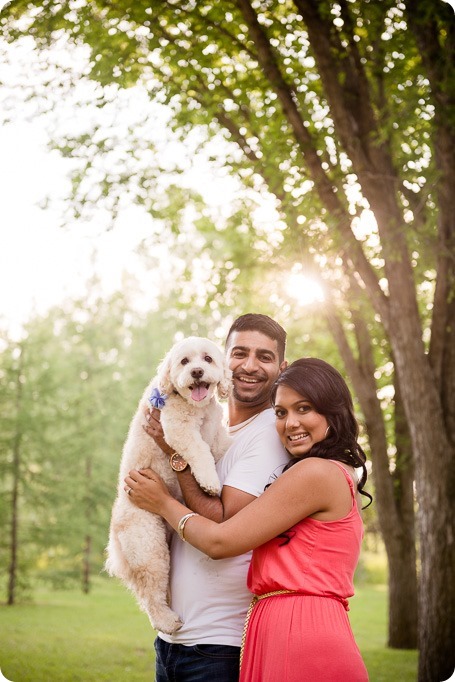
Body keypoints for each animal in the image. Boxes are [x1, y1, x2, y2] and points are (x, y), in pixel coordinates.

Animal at [104, 334, 232, 632]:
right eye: (184, 361)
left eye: (207, 359)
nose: (196, 372)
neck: (197, 407)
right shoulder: (177, 428)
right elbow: (199, 451)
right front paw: (210, 481)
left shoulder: (215, 433)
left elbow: (221, 444)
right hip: (148, 545)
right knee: (150, 593)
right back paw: (166, 621)